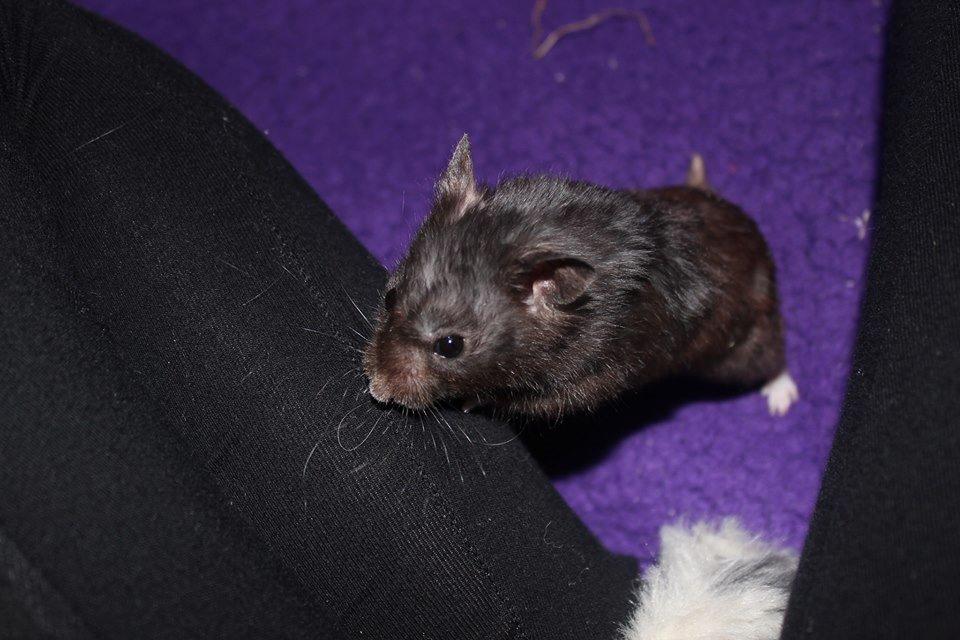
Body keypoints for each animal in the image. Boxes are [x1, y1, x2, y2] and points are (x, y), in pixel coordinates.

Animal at [363, 135, 798, 419]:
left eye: (450, 345)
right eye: (389, 297)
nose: (376, 390)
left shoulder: (592, 374)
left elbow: (531, 401)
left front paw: (472, 400)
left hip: (741, 343)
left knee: (771, 355)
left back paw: (781, 393)